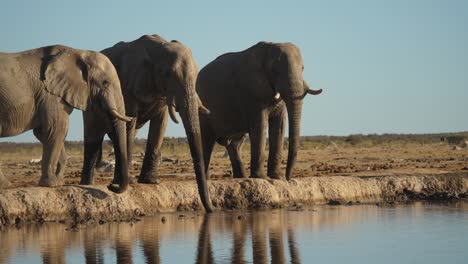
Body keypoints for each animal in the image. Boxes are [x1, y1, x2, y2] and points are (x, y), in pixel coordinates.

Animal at [0, 43, 132, 192]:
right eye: (105, 83)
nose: (111, 186)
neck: (78, 52)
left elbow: (44, 132)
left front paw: (59, 180)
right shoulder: (50, 95)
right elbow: (57, 128)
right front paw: (53, 184)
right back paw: (6, 185)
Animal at [82, 34, 214, 212]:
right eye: (167, 74)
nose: (211, 209)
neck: (159, 48)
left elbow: (160, 125)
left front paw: (151, 181)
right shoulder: (128, 84)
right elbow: (129, 121)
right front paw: (125, 183)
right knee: (94, 135)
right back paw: (88, 183)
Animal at [197, 41, 322, 179]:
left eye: (303, 68)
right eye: (274, 70)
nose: (289, 177)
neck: (268, 49)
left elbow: (279, 126)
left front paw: (277, 177)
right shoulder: (252, 91)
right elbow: (260, 125)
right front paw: (262, 178)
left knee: (234, 144)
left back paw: (241, 177)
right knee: (206, 141)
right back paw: (207, 178)